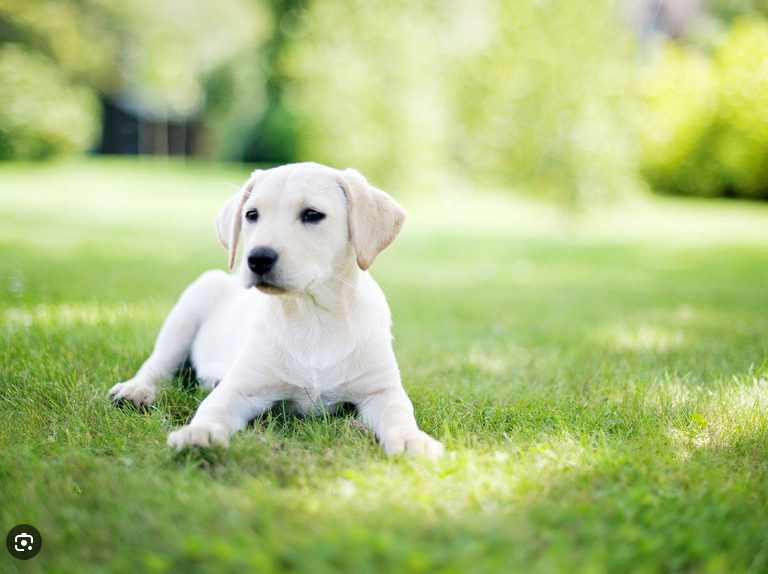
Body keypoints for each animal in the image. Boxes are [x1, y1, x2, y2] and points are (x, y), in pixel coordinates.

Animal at [109, 162, 444, 460]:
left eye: (312, 215)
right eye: (251, 215)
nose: (258, 258)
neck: (312, 316)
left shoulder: (381, 390)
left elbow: (400, 412)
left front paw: (412, 439)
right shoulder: (240, 388)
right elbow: (213, 406)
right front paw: (199, 433)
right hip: (193, 302)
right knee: (159, 363)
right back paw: (136, 390)